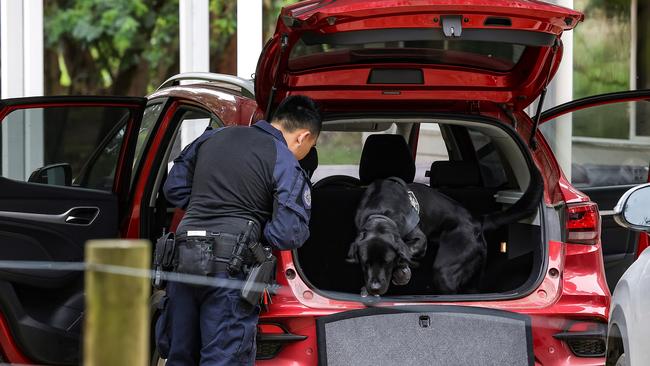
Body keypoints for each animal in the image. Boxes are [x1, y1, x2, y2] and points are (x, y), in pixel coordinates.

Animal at [344, 169, 540, 298]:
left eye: (387, 262)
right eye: (365, 262)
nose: (375, 287)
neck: (380, 212)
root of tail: (477, 221)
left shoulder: (420, 239)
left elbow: (407, 250)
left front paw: (401, 271)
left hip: (446, 269)